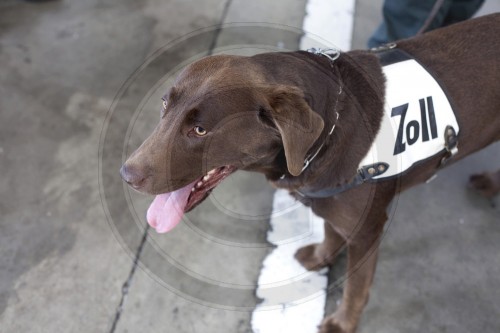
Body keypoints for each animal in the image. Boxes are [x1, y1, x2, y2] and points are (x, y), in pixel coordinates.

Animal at [120, 14, 500, 332]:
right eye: (164, 105)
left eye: (199, 130)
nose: (126, 175)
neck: (329, 130)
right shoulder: (328, 197)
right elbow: (331, 230)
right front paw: (321, 257)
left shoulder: (368, 229)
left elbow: (356, 287)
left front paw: (343, 323)